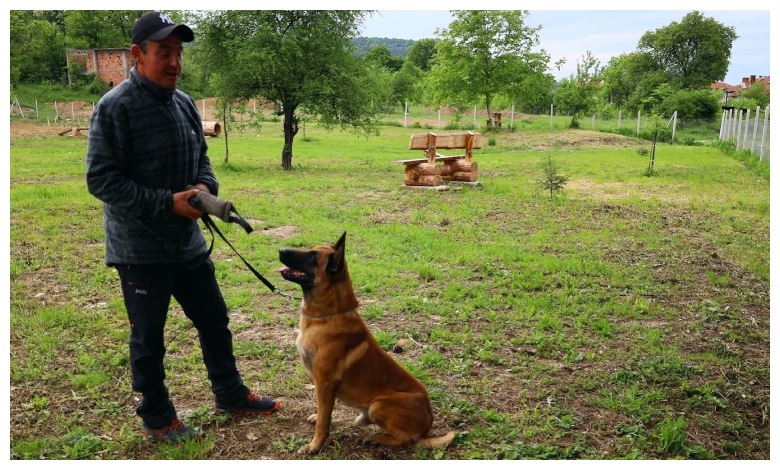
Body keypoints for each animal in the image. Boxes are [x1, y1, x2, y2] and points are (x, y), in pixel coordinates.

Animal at [278, 233, 454, 454]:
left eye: (312, 256)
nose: (281, 250)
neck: (327, 315)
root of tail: (427, 428)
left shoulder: (325, 383)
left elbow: (324, 422)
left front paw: (314, 445)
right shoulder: (324, 388)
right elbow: (323, 412)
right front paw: (317, 417)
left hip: (378, 405)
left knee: (407, 440)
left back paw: (377, 438)